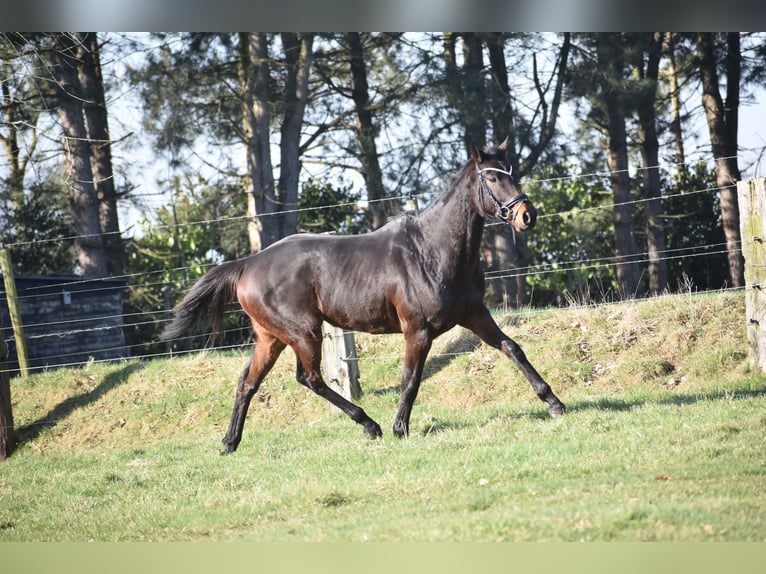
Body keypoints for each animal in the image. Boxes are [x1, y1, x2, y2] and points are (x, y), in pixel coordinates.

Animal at [162, 140, 568, 454]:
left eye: (512, 172)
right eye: (493, 177)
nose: (527, 215)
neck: (434, 250)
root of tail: (248, 264)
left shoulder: (475, 315)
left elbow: (512, 348)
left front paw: (554, 404)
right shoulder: (417, 331)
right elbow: (410, 379)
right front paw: (400, 428)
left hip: (270, 338)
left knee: (248, 382)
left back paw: (230, 443)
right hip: (303, 332)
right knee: (310, 378)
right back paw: (369, 425)